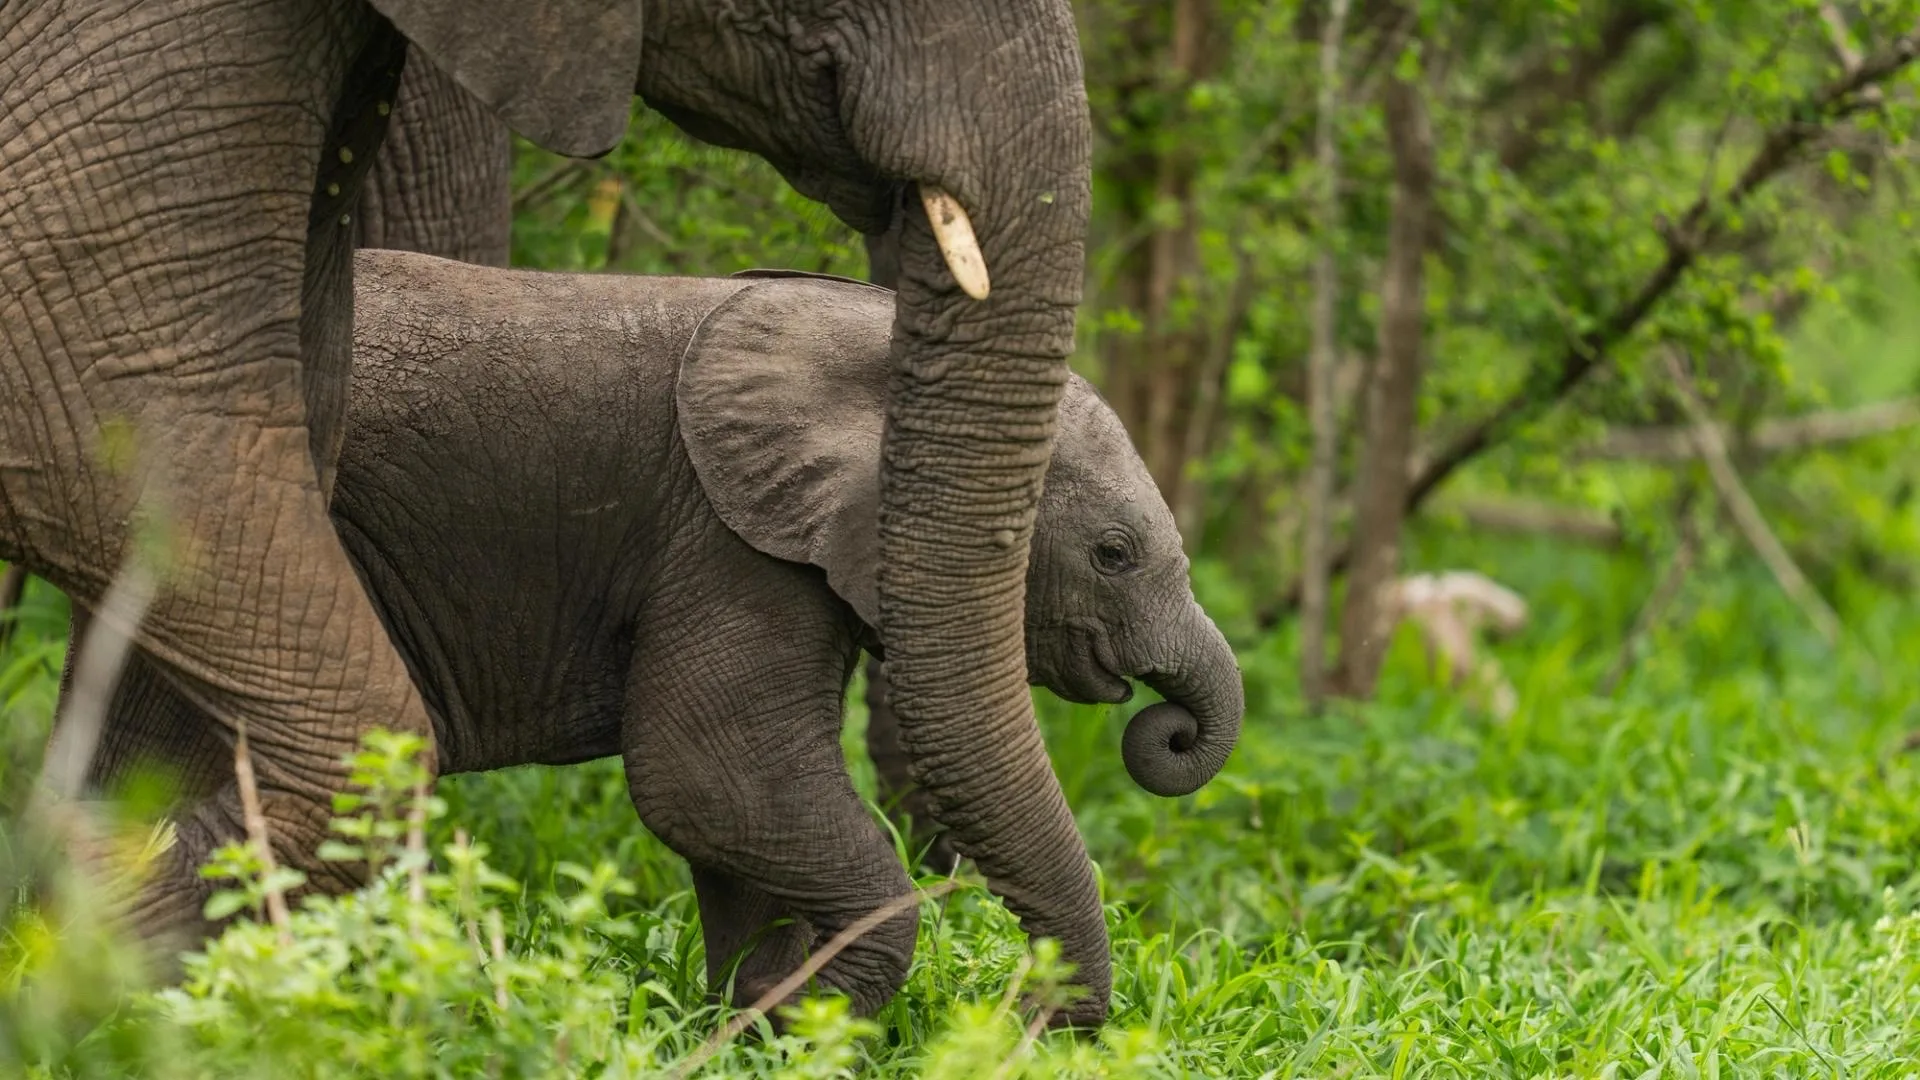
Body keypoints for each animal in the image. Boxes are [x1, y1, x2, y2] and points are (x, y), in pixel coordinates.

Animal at [82, 250, 1245, 1020]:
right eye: (1113, 554)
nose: (1171, 734)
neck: (883, 350)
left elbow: (736, 818)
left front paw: (759, 1017)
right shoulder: (723, 539)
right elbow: (712, 778)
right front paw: (798, 1018)